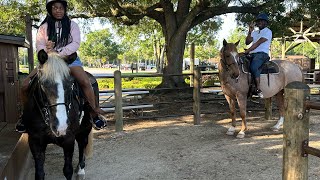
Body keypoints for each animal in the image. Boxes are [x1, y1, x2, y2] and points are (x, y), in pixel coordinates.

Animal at [22, 52, 96, 180]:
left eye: (70, 83)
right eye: (43, 84)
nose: (61, 126)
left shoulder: (68, 140)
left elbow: (67, 170)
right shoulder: (35, 141)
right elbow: (39, 173)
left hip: (85, 128)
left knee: (82, 144)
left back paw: (81, 169)